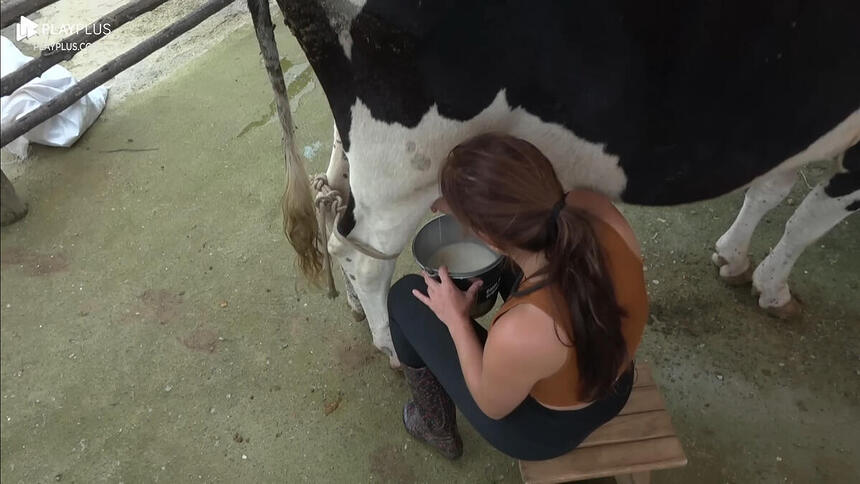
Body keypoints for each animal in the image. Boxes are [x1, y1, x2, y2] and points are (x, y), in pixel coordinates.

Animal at [249, 0, 860, 364]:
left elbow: (771, 189)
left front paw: (733, 256)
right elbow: (806, 219)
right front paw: (774, 288)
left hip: (361, 142)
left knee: (334, 206)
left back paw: (356, 308)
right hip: (406, 153)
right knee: (363, 253)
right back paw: (392, 347)